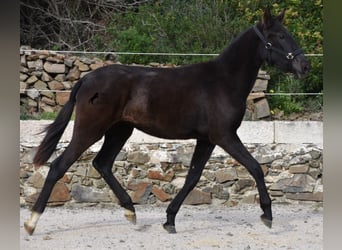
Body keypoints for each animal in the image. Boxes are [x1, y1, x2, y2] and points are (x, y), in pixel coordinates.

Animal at [24, 7, 310, 234]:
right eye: (279, 36)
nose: (304, 66)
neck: (223, 82)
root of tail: (85, 79)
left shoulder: (207, 140)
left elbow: (193, 177)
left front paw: (169, 219)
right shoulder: (225, 136)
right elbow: (255, 167)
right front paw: (267, 215)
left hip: (120, 130)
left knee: (102, 163)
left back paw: (130, 212)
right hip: (91, 129)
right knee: (59, 166)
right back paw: (31, 223)